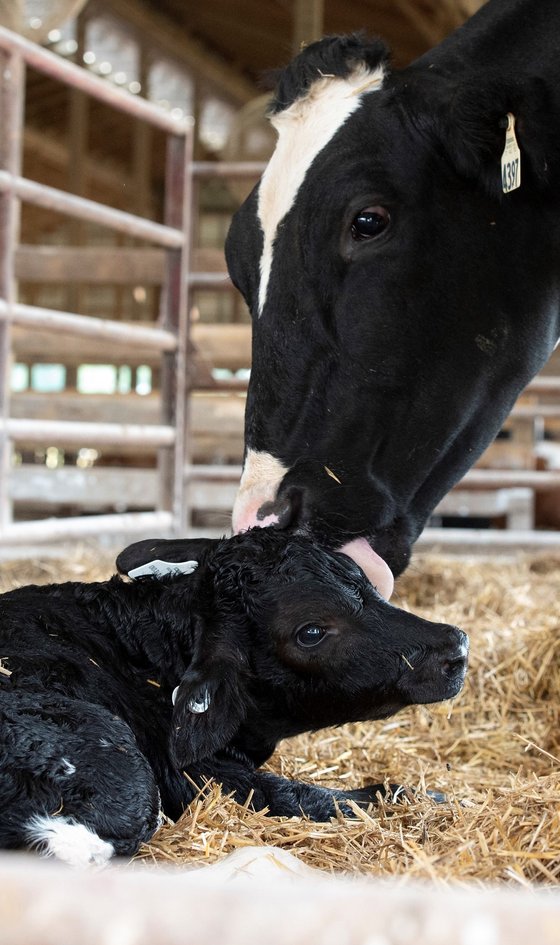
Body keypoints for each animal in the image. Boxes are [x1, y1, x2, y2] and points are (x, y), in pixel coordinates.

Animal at [0, 528, 468, 866]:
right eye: (311, 631)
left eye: (364, 582)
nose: (456, 647)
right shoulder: (202, 777)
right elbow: (308, 797)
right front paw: (440, 799)